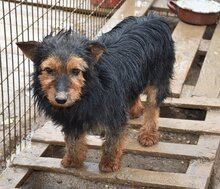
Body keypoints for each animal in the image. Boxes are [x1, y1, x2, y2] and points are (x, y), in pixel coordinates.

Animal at [16, 12, 175, 173]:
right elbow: (73, 140)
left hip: (159, 76)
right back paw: (135, 110)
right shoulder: (72, 119)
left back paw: (148, 133)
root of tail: (153, 17)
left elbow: (113, 140)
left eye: (75, 71)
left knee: (153, 106)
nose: (61, 99)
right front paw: (73, 159)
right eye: (48, 70)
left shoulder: (114, 115)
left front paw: (109, 162)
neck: (89, 91)